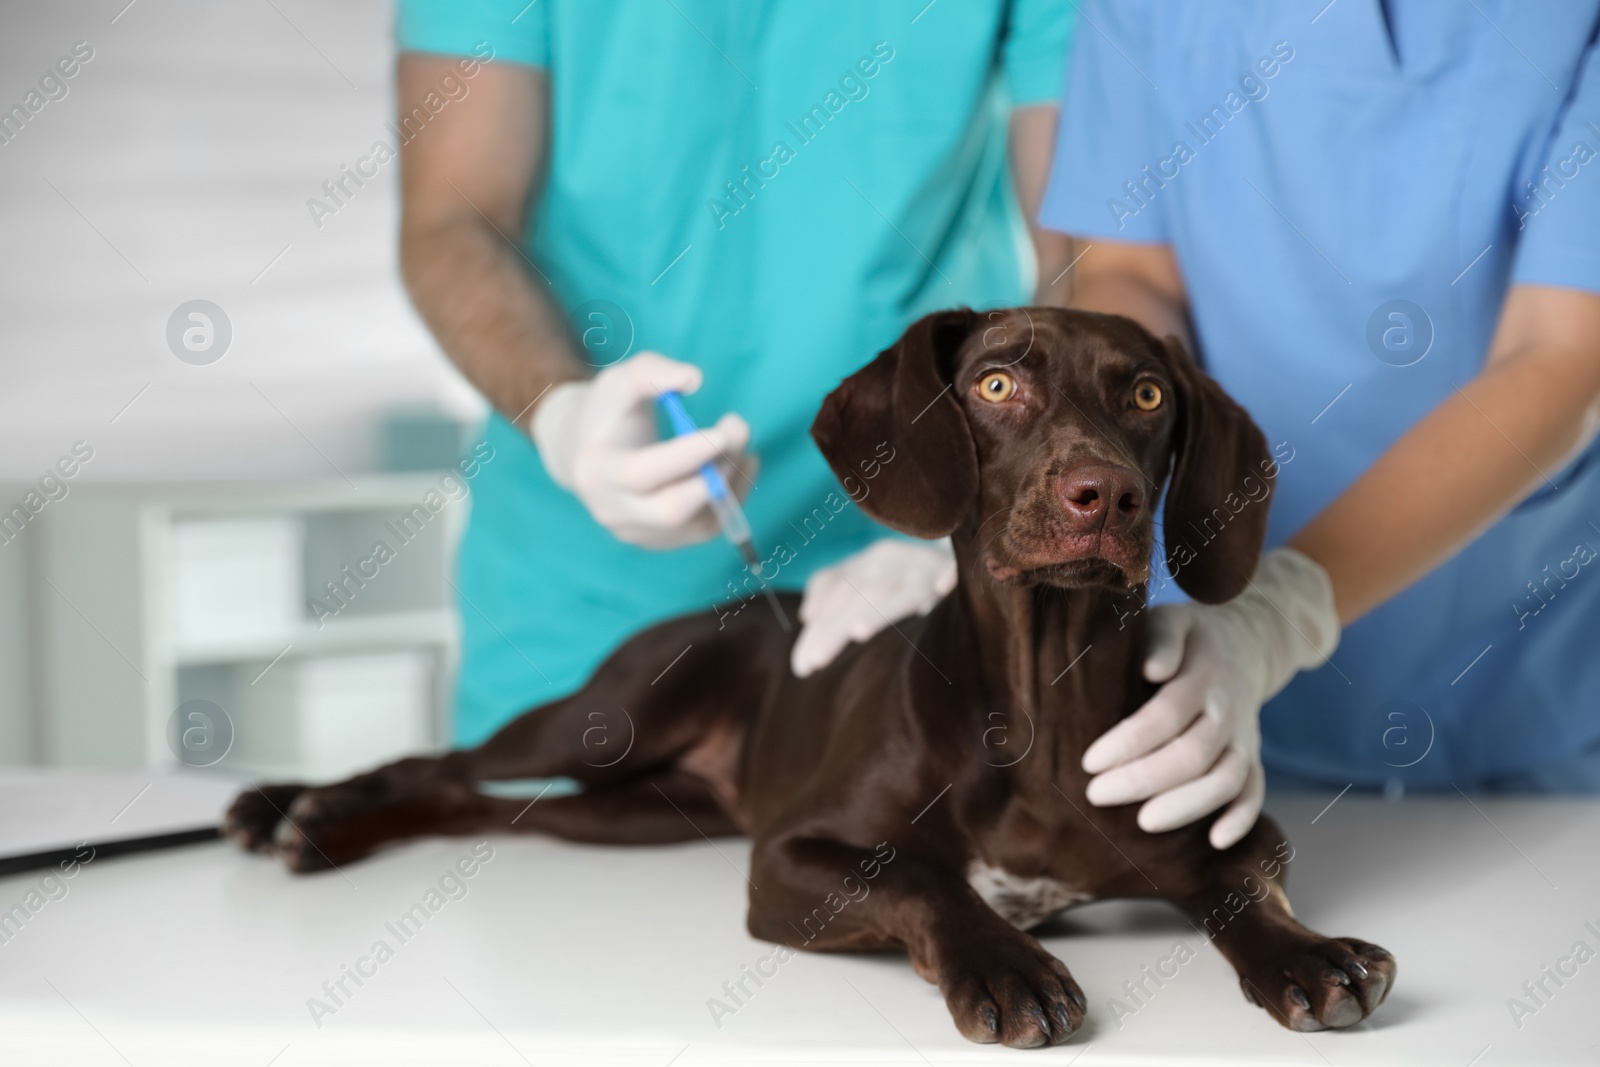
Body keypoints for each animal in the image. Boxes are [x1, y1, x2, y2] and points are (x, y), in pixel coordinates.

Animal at [222, 307, 1388, 1043]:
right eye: (995, 383)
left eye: (1145, 393)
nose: (1104, 496)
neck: (1038, 702)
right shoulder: (788, 856)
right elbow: (922, 876)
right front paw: (1005, 960)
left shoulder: (1231, 827)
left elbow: (1239, 884)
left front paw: (1304, 953)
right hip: (607, 722)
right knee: (446, 758)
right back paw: (297, 808)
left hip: (631, 809)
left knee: (485, 804)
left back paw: (320, 826)